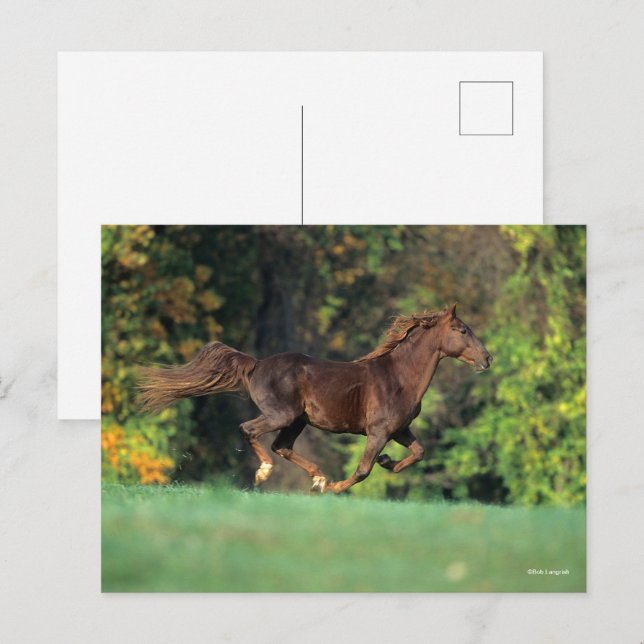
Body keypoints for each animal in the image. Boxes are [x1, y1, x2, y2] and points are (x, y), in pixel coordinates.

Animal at [138, 304, 492, 494]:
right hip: (281, 415)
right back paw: (268, 473)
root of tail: (256, 364)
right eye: (462, 330)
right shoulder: (378, 432)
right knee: (250, 431)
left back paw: (318, 477)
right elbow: (363, 470)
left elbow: (418, 453)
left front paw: (388, 462)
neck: (399, 377)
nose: (488, 359)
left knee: (282, 446)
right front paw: (337, 487)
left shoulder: (400, 430)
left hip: (297, 420)